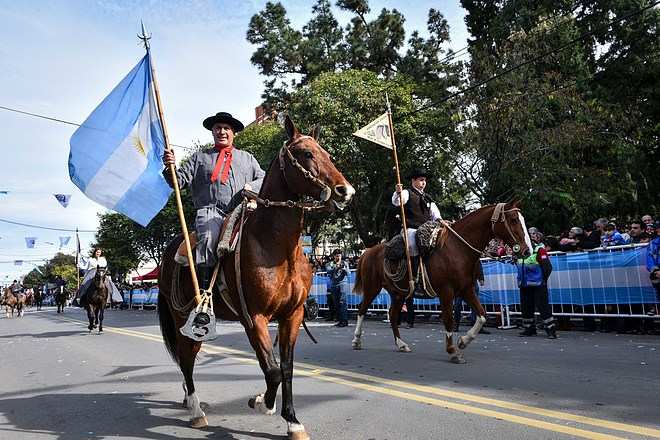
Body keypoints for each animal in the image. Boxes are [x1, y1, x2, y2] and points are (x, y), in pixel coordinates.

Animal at [157, 115, 354, 438]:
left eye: (327, 153)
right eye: (306, 154)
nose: (345, 191)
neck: (276, 247)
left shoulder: (293, 315)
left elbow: (286, 368)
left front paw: (292, 420)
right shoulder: (255, 318)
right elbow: (272, 370)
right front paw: (262, 402)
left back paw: (188, 399)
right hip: (182, 318)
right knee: (187, 358)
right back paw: (196, 409)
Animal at [354, 201, 532, 362]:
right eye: (513, 220)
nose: (527, 250)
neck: (457, 248)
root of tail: (368, 252)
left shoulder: (466, 289)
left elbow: (482, 315)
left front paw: (463, 341)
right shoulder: (446, 291)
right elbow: (448, 319)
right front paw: (453, 351)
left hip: (398, 293)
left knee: (392, 314)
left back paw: (401, 344)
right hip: (372, 288)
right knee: (362, 309)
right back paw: (356, 340)